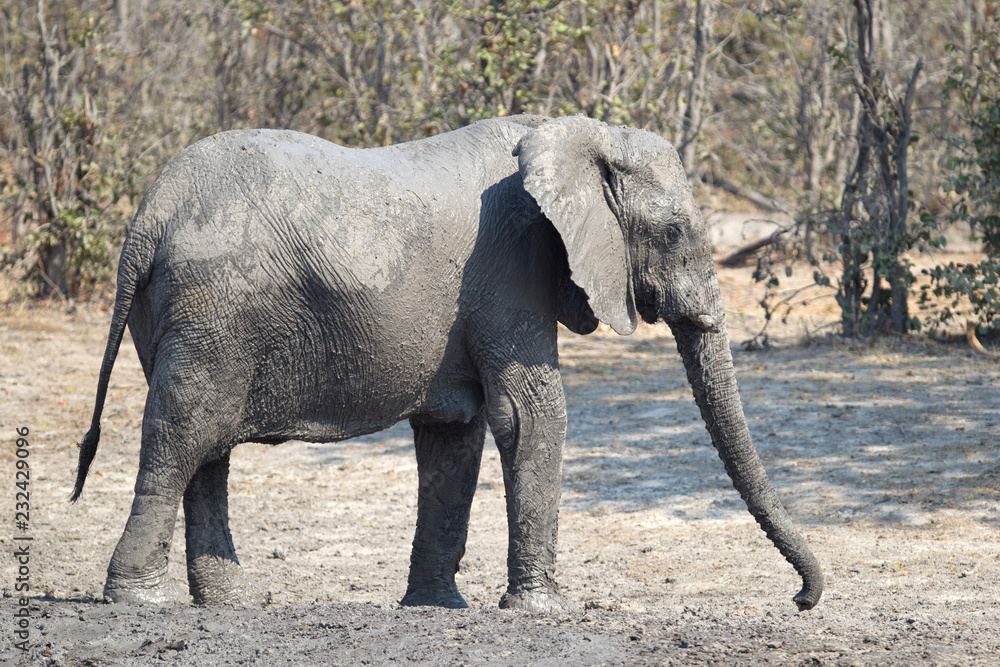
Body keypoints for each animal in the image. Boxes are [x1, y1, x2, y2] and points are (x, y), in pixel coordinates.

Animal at [73, 114, 823, 613]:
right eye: (671, 232)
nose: (800, 600)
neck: (577, 134)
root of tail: (150, 214)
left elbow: (453, 435)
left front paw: (437, 608)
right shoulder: (512, 266)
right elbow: (529, 413)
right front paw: (544, 611)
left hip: (186, 315)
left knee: (208, 448)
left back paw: (232, 604)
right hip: (213, 306)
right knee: (182, 435)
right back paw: (137, 601)